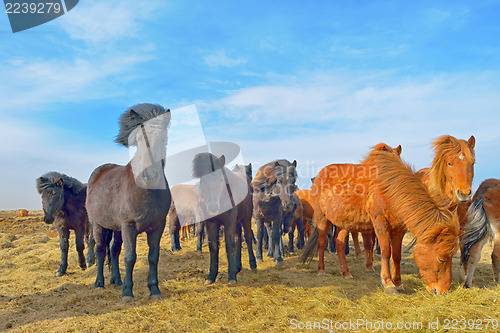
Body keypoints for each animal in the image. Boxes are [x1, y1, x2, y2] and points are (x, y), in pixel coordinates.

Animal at [86, 103, 172, 300]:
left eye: (163, 139)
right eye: (139, 140)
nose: (150, 175)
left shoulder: (158, 226)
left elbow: (153, 257)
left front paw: (154, 290)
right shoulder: (129, 226)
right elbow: (130, 257)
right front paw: (127, 292)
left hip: (116, 228)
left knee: (114, 250)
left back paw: (116, 280)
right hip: (98, 225)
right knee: (100, 250)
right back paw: (99, 283)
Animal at [192, 152, 256, 284]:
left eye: (220, 179)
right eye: (202, 181)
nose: (213, 208)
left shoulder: (229, 221)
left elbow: (229, 245)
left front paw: (231, 276)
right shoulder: (211, 223)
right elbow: (213, 246)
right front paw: (211, 276)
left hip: (246, 217)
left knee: (247, 237)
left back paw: (253, 265)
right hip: (238, 221)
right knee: (238, 238)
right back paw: (237, 267)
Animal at [298, 142, 400, 278]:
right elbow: (369, 244)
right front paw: (369, 267)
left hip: (342, 224)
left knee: (339, 243)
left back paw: (346, 272)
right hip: (322, 219)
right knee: (322, 242)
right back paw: (321, 270)